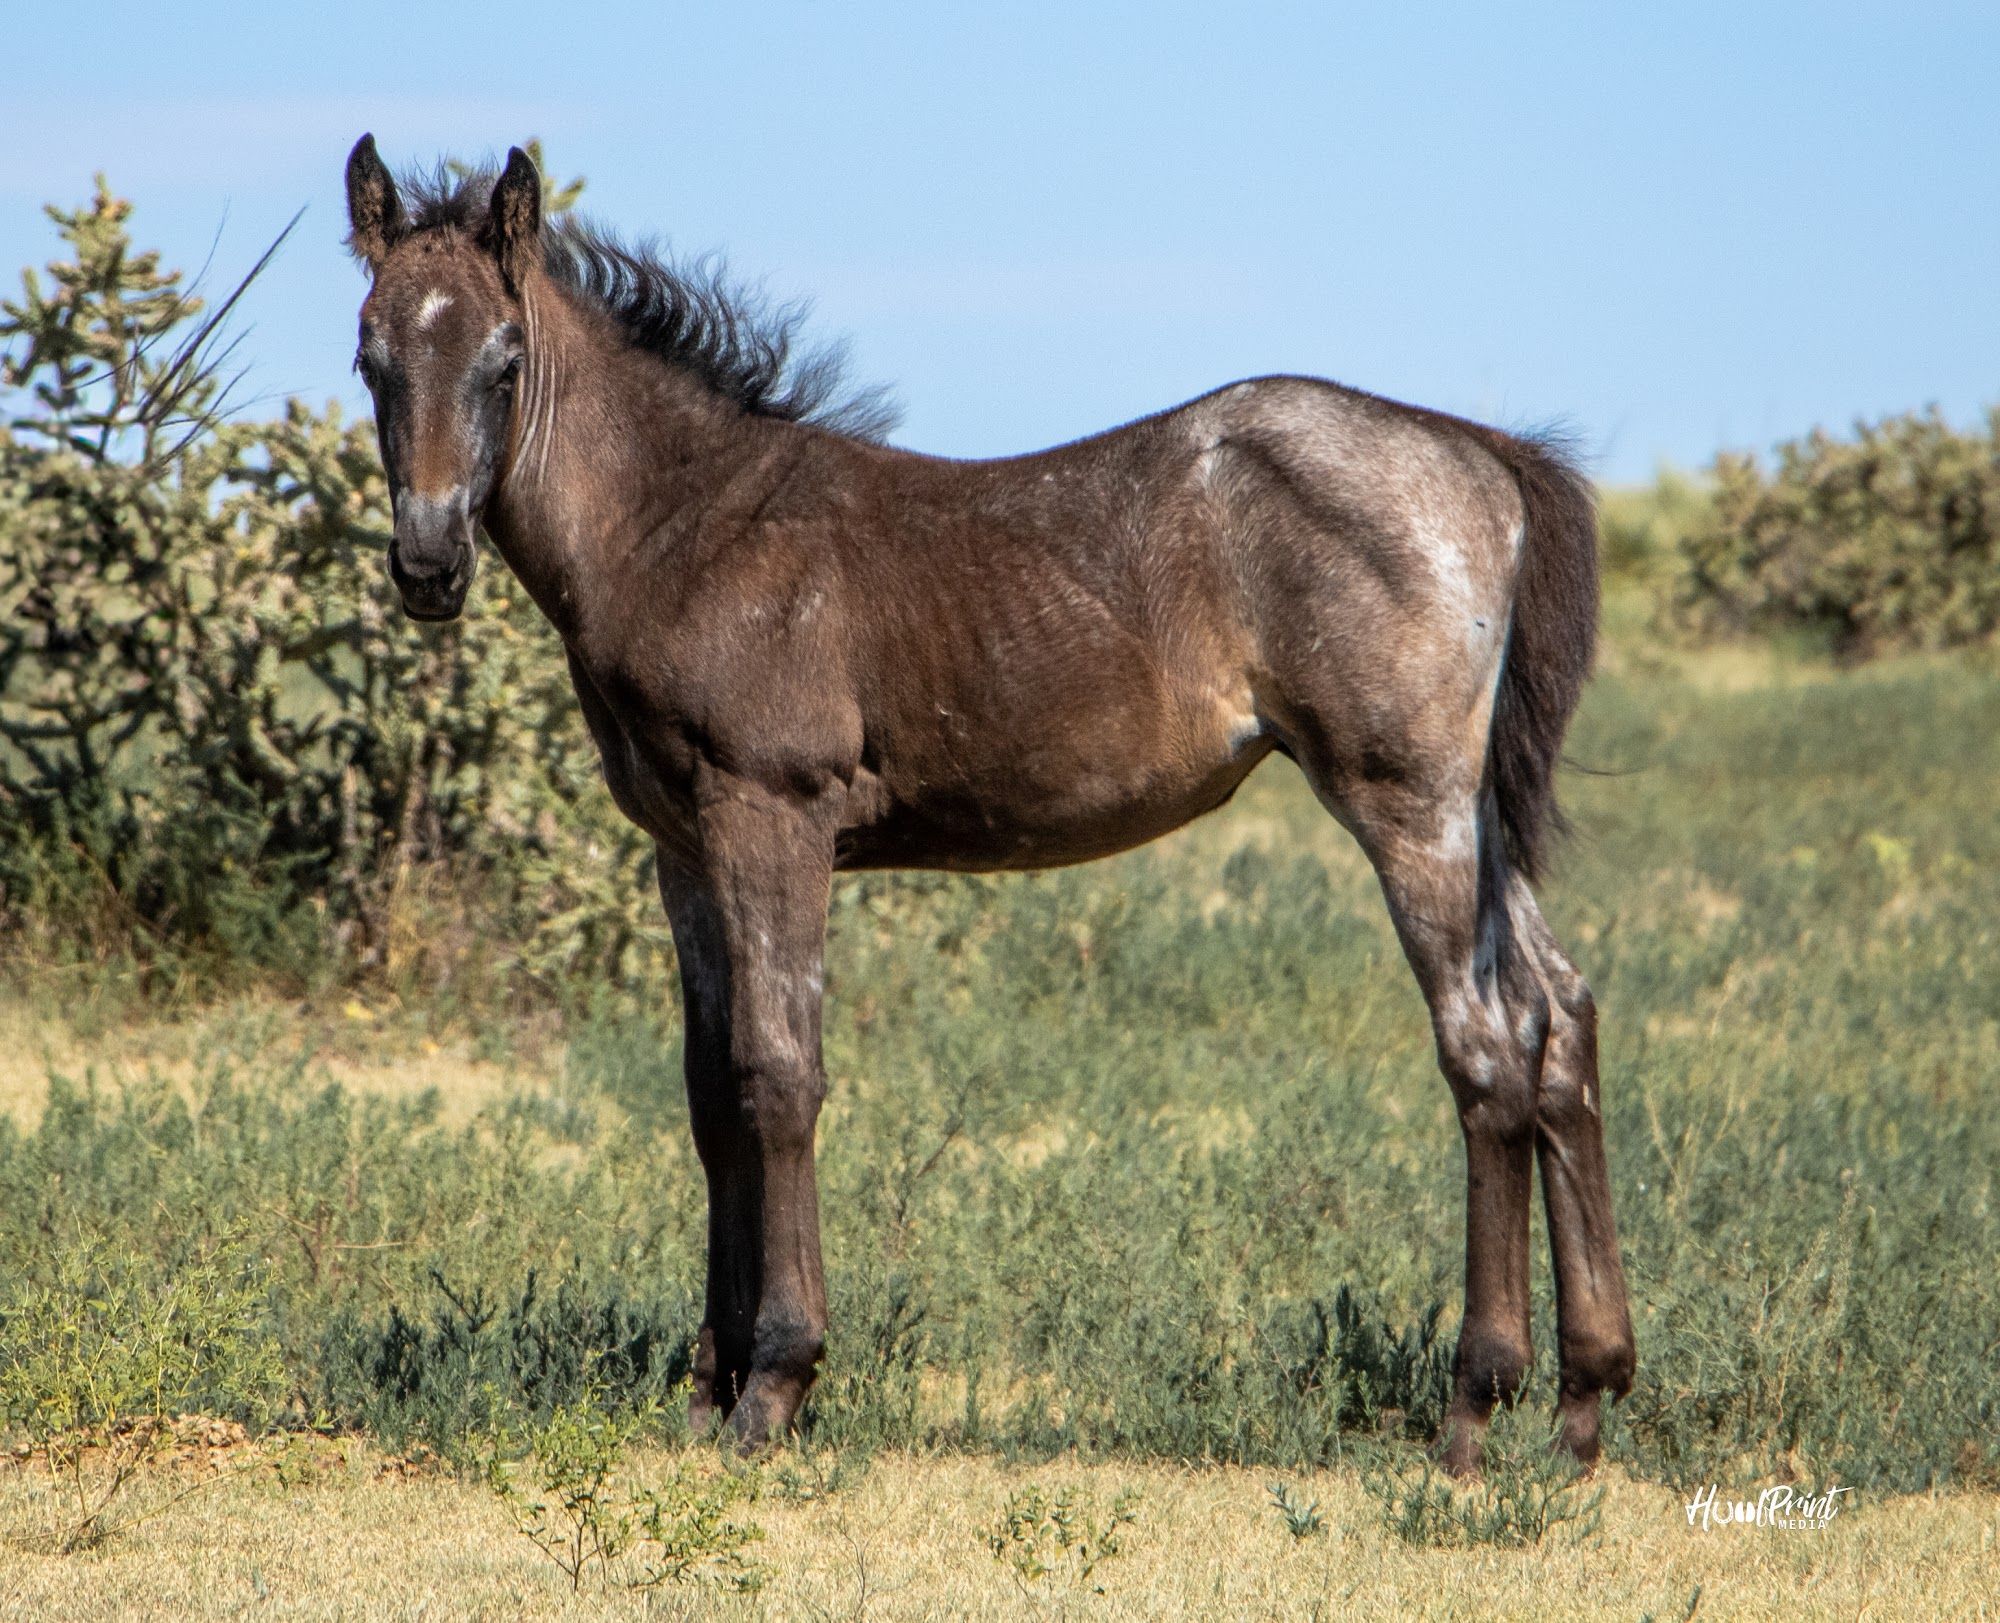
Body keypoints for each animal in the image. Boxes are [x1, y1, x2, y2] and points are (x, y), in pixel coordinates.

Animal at [342, 136, 1634, 1473]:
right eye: (368, 355)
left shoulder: (773, 818)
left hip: (1405, 805)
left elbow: (778, 1076)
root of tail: (1482, 455)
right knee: (1561, 1022)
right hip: (1476, 821)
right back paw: (1583, 1402)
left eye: (503, 360)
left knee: (1486, 1048)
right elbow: (709, 1094)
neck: (683, 527)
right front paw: (704, 1387)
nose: (427, 565)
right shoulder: (682, 848)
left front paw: (775, 1385)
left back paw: (1474, 1404)